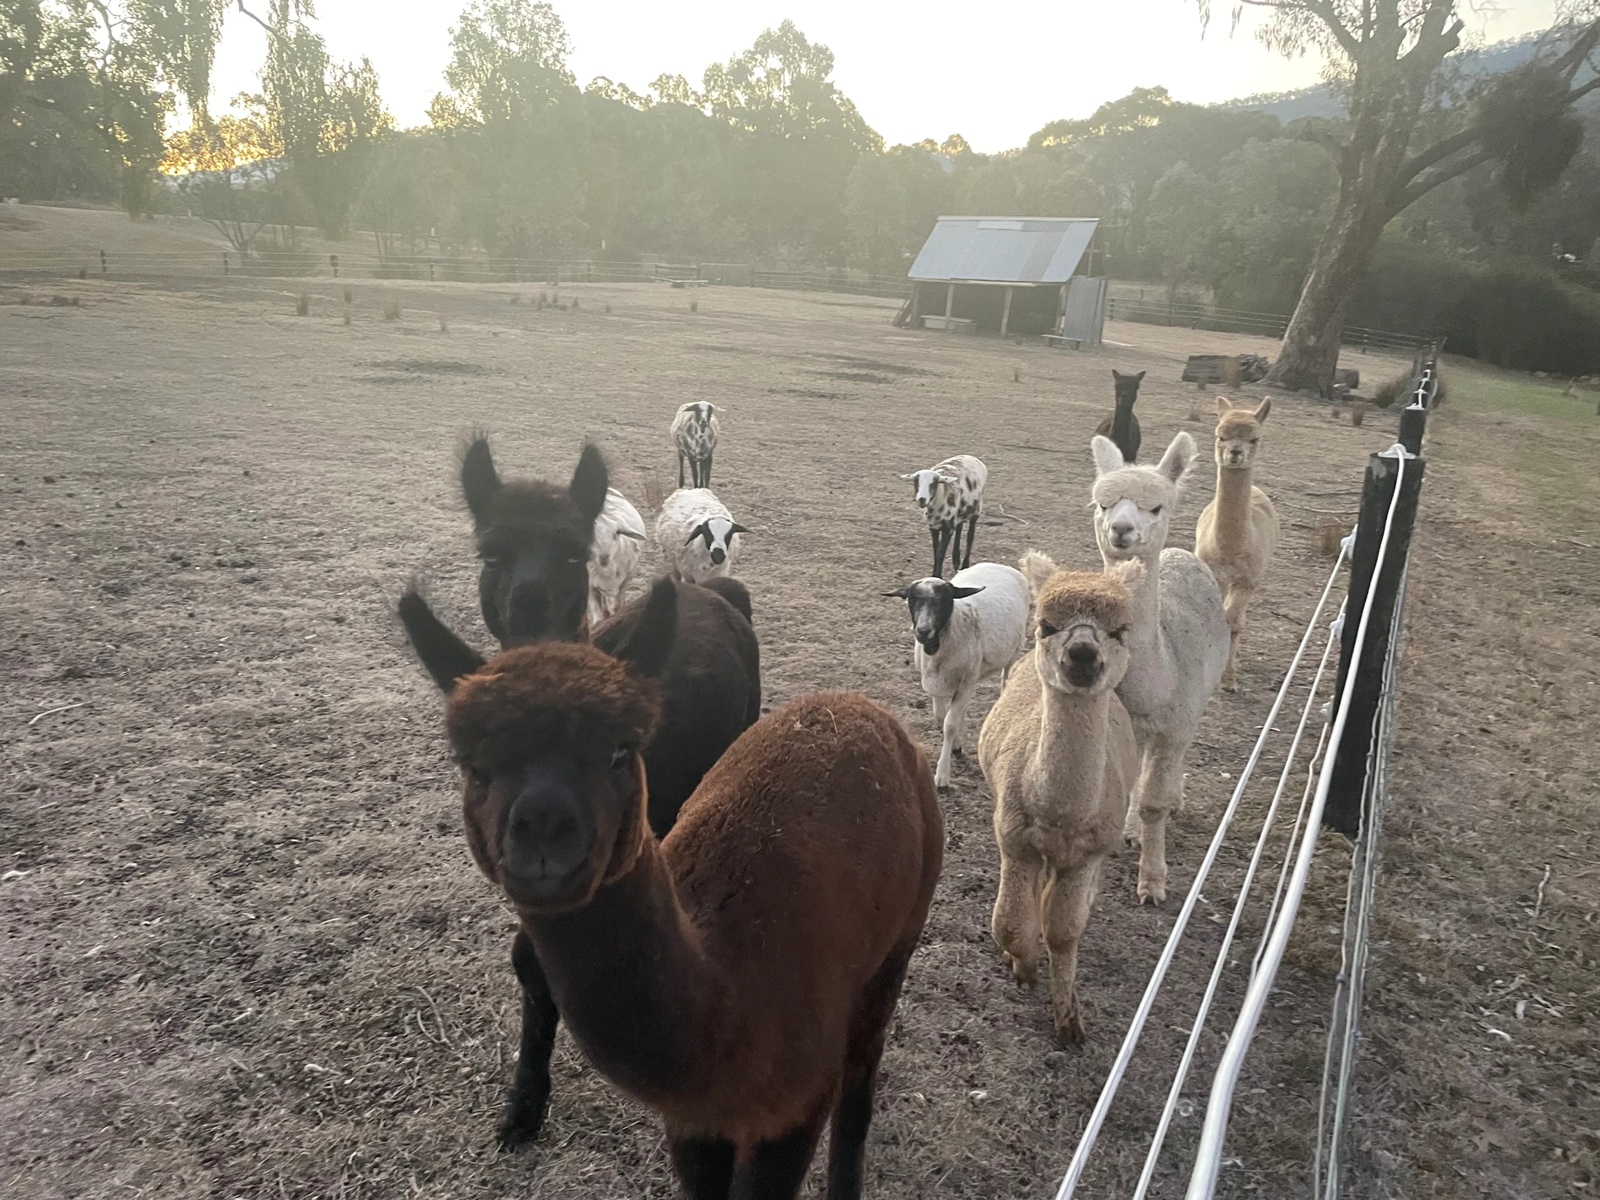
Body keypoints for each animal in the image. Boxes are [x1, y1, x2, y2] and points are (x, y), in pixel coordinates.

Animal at [412, 579, 943, 1200]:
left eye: (621, 750)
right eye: (472, 764)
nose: (542, 829)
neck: (728, 989)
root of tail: (858, 706)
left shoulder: (793, 1109)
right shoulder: (694, 1123)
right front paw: (520, 1114)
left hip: (900, 936)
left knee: (861, 1070)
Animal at [588, 486, 647, 627]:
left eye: (617, 532)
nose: (604, 557)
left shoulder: (623, 582)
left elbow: (616, 607)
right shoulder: (589, 586)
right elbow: (597, 616)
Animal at [886, 561, 1030, 790]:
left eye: (945, 599)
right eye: (912, 599)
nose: (923, 630)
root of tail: (998, 564)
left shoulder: (965, 683)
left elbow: (949, 725)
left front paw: (942, 776)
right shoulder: (937, 683)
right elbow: (941, 717)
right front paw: (956, 745)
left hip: (1014, 650)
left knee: (1005, 679)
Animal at [979, 553, 1139, 1046]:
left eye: (1120, 629)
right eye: (1047, 625)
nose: (1083, 653)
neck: (1060, 816)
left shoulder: (1086, 851)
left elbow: (1065, 931)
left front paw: (1069, 1019)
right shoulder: (1014, 838)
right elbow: (1010, 924)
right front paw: (1025, 968)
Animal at [1195, 397, 1280, 690]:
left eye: (1255, 438)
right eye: (1220, 435)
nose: (1234, 453)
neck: (1229, 550)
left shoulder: (1247, 580)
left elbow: (1233, 622)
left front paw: (1229, 679)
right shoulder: (1214, 574)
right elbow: (1215, 619)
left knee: (1240, 620)